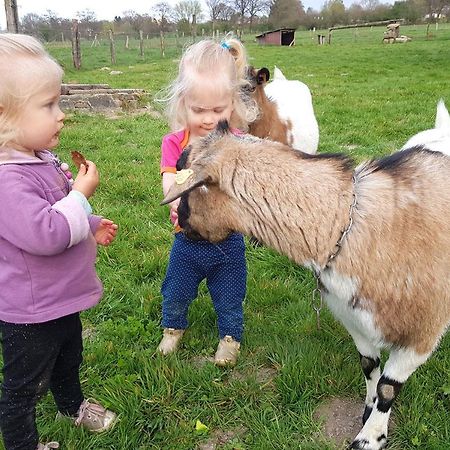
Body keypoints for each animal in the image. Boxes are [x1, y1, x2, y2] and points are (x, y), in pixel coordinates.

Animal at [164, 103, 450, 450]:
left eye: (187, 186)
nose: (182, 226)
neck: (346, 222)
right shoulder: (353, 318)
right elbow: (370, 368)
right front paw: (366, 413)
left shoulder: (422, 333)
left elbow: (387, 387)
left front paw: (370, 438)